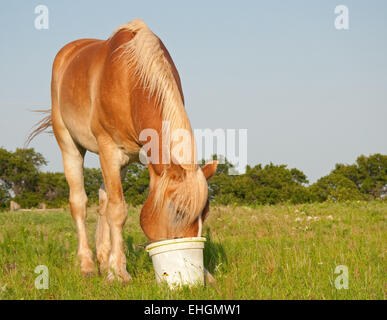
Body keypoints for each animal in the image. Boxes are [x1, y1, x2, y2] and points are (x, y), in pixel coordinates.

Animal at [28, 18, 218, 282]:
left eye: (205, 213)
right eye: (179, 211)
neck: (131, 79)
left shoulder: (131, 160)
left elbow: (110, 207)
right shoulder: (110, 150)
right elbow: (118, 211)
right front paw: (119, 272)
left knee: (103, 202)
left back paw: (102, 260)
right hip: (69, 144)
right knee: (79, 203)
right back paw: (87, 265)